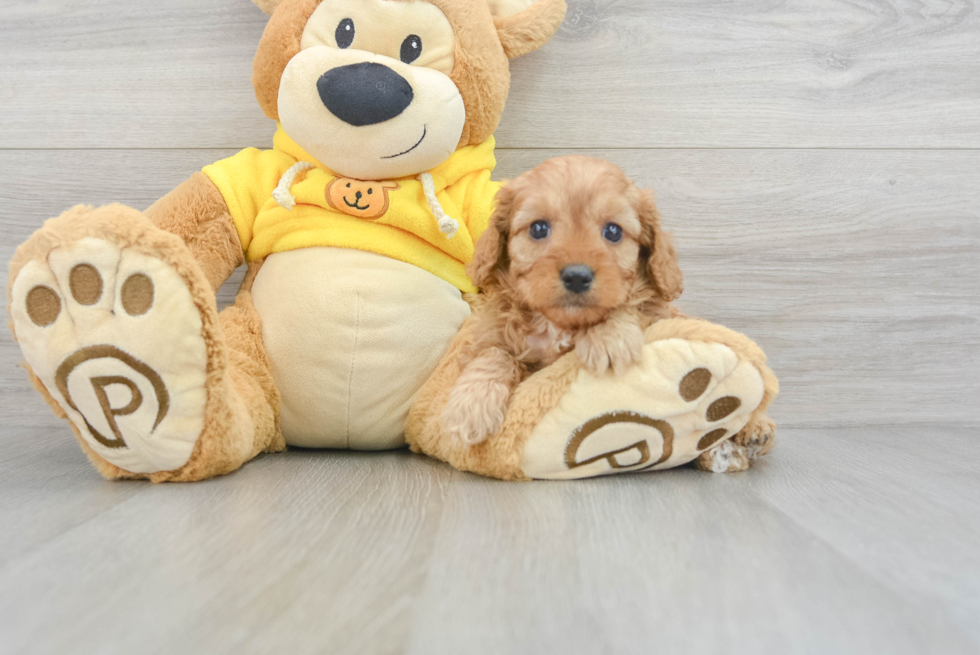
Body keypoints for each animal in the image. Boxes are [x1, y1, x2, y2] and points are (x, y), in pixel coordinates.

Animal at [442, 156, 680, 448]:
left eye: (613, 231)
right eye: (538, 228)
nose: (577, 277)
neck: (556, 323)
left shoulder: (659, 313)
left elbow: (630, 304)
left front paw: (609, 338)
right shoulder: (488, 335)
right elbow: (494, 354)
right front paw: (470, 407)